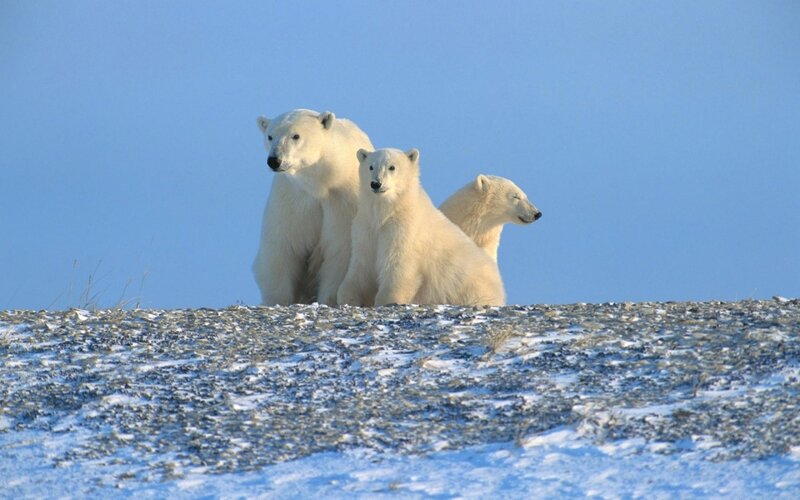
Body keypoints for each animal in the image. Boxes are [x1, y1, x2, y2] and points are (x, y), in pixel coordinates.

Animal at [253, 109, 373, 305]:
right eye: (270, 136)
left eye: (296, 135)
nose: (274, 160)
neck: (321, 184)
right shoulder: (292, 200)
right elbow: (282, 249)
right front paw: (278, 300)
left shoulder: (343, 203)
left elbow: (339, 252)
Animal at [337, 148, 506, 307]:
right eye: (371, 166)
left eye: (392, 167)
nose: (376, 183)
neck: (388, 212)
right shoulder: (366, 227)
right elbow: (362, 265)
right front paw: (348, 297)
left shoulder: (403, 230)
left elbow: (398, 266)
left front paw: (387, 299)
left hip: (472, 288)